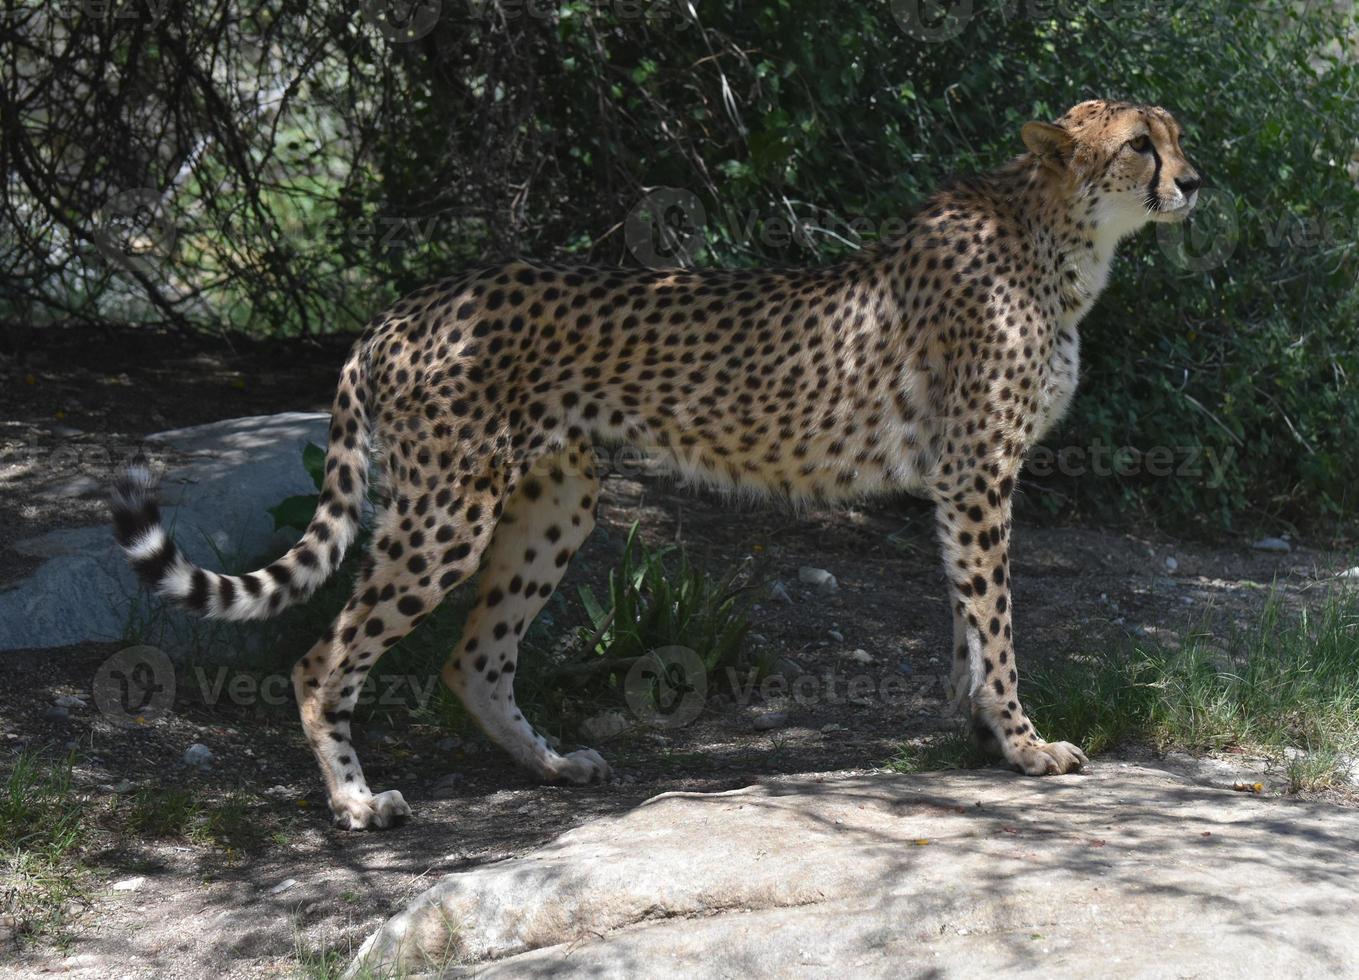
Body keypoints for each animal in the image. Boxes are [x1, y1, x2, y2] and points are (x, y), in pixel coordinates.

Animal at [114, 99, 1201, 826]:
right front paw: (1023, 742)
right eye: (1138, 145)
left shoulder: (960, 480)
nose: (1192, 182)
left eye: (1176, 135)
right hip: (446, 512)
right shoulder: (977, 473)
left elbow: (968, 621)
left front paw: (981, 732)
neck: (1060, 239)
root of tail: (406, 305)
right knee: (320, 655)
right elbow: (996, 619)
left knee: (473, 656)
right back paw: (354, 800)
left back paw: (552, 767)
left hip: (555, 500)